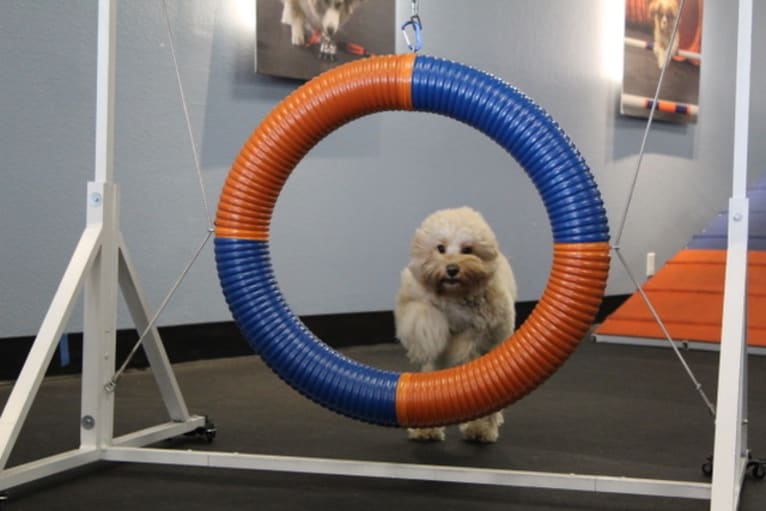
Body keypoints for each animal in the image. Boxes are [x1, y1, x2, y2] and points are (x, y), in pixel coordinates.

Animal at [396, 208, 516, 444]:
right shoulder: (413, 298)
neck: (454, 295)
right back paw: (427, 430)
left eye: (467, 249)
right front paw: (431, 338)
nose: (452, 269)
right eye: (440, 248)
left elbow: (470, 341)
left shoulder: (489, 323)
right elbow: (423, 315)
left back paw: (481, 429)